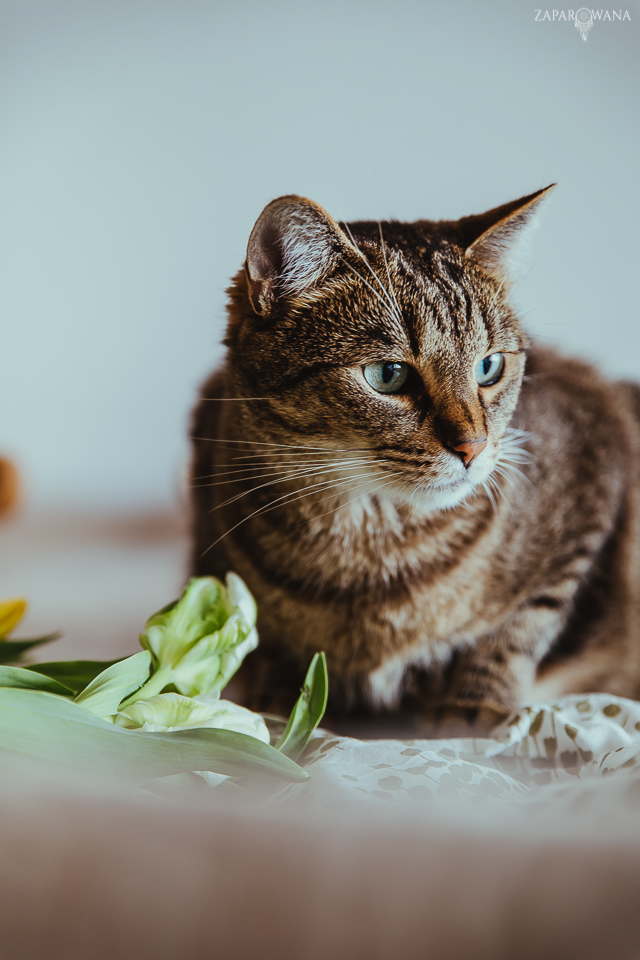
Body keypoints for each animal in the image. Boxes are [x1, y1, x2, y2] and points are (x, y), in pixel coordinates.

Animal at [189, 189, 640, 736]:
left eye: (489, 367)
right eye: (388, 374)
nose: (473, 446)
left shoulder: (595, 474)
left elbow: (520, 627)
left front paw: (475, 705)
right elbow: (266, 639)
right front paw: (280, 702)